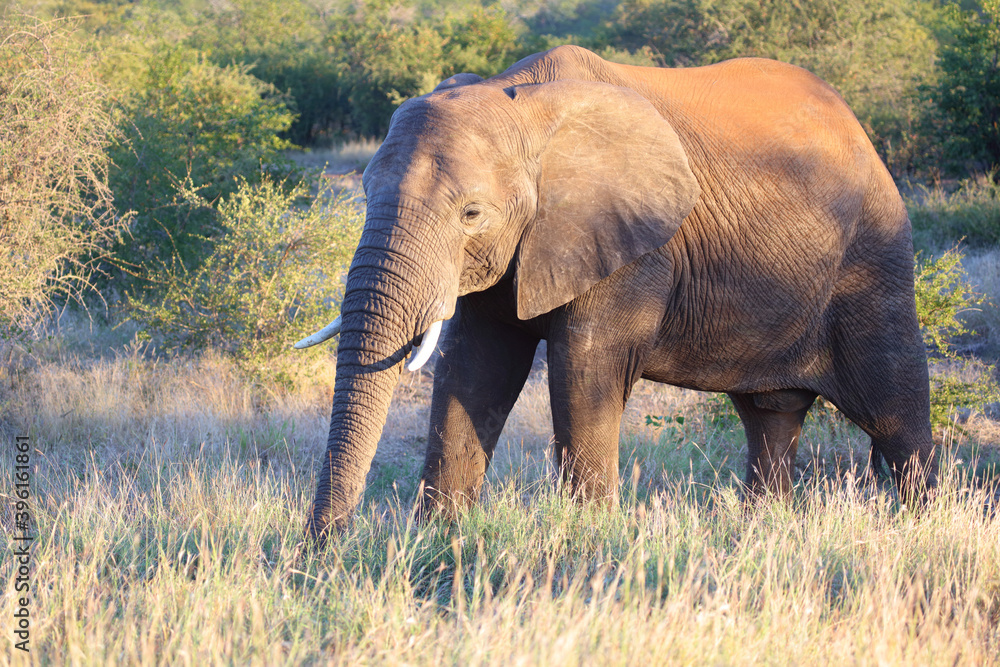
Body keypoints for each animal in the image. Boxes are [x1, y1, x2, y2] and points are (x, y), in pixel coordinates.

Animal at [296, 45, 937, 541]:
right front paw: (437, 542)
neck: (525, 103)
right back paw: (762, 529)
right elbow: (475, 369)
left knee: (894, 408)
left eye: (472, 213)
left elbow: (583, 371)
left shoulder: (632, 246)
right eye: (365, 191)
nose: (326, 550)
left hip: (873, 261)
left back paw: (925, 524)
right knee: (770, 416)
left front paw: (586, 539)